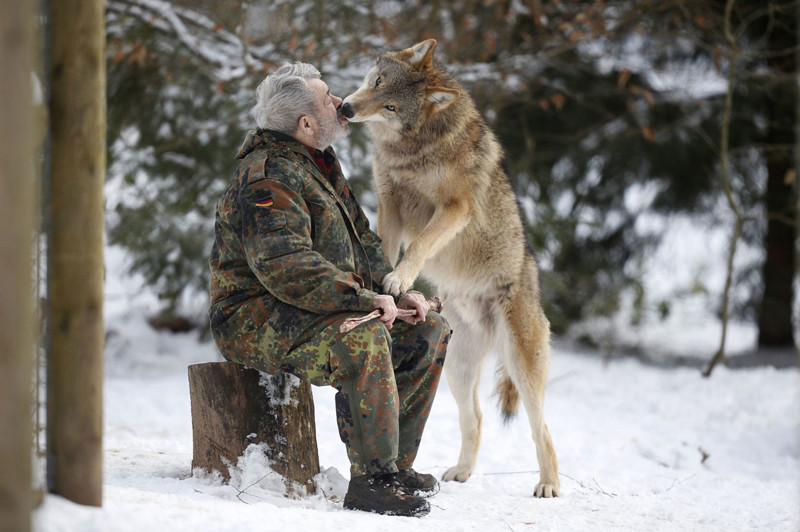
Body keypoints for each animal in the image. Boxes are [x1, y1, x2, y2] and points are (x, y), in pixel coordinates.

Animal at [344, 38, 564, 498]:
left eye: (390, 106)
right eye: (377, 82)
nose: (347, 109)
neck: (414, 147)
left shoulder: (454, 208)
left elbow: (420, 245)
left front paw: (399, 278)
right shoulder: (390, 202)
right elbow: (385, 245)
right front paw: (382, 286)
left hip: (522, 366)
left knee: (542, 427)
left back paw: (549, 485)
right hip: (457, 371)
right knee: (475, 418)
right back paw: (461, 472)